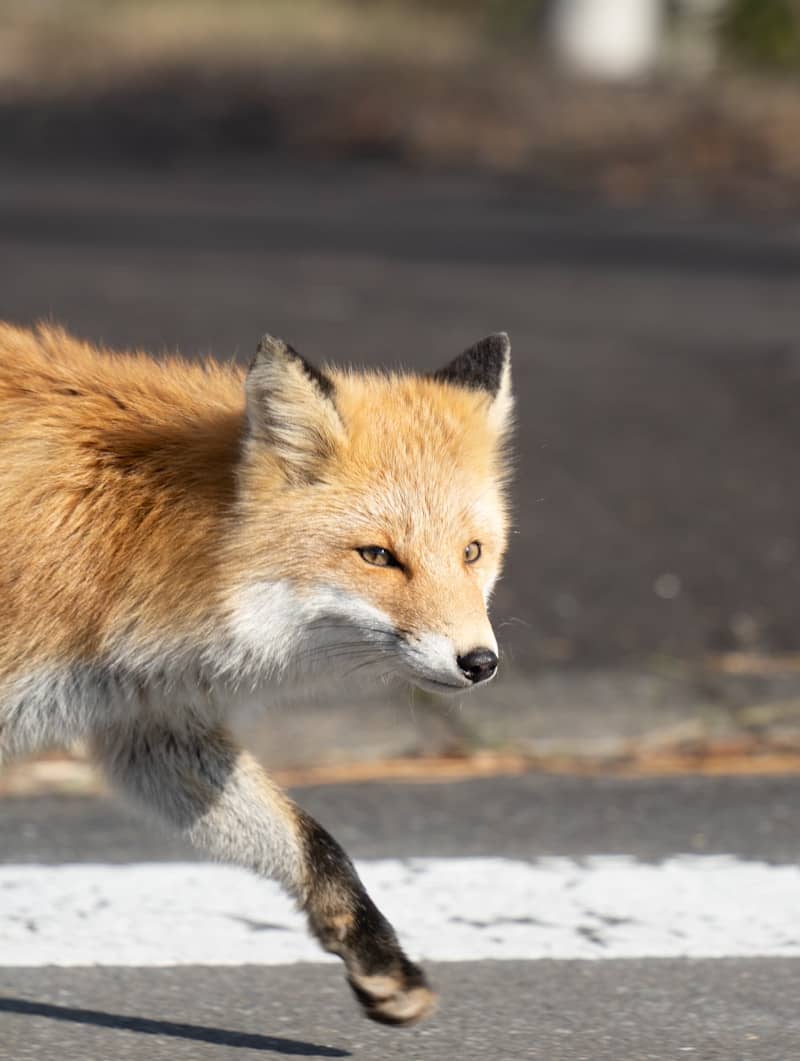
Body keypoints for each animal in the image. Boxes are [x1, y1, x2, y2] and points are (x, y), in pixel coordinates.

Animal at [0, 321, 513, 1026]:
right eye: (378, 556)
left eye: (472, 552)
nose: (480, 663)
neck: (120, 543)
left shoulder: (153, 725)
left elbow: (312, 843)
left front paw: (381, 963)